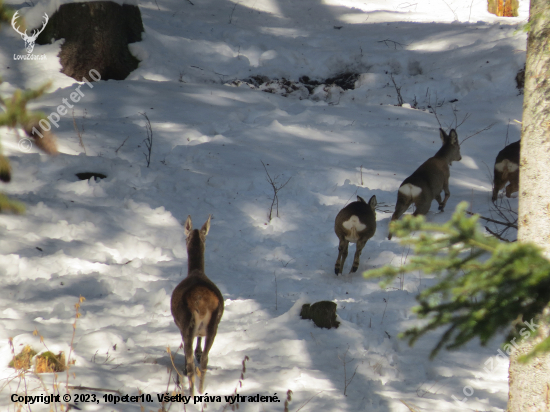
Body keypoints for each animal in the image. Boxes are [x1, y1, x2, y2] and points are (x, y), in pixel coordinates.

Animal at [172, 216, 224, 396]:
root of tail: (201, 303)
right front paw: (199, 352)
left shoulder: (181, 326)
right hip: (214, 324)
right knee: (205, 361)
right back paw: (201, 391)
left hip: (187, 324)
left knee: (190, 365)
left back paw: (192, 392)